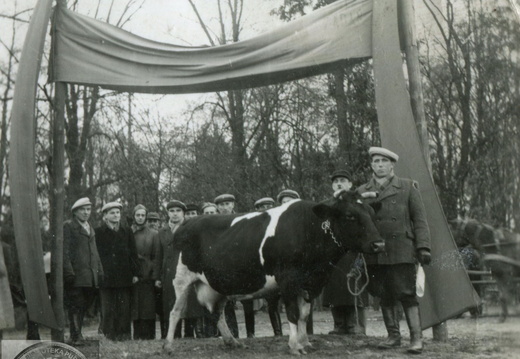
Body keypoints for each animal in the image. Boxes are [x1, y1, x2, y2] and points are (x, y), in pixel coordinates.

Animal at [165, 190, 384, 356]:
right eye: (350, 215)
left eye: (372, 214)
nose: (379, 244)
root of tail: (186, 223)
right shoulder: (288, 279)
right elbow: (294, 314)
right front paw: (295, 346)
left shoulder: (311, 283)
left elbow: (304, 314)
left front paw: (305, 343)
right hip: (181, 278)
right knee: (175, 311)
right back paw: (168, 346)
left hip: (216, 285)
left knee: (216, 313)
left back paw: (232, 342)